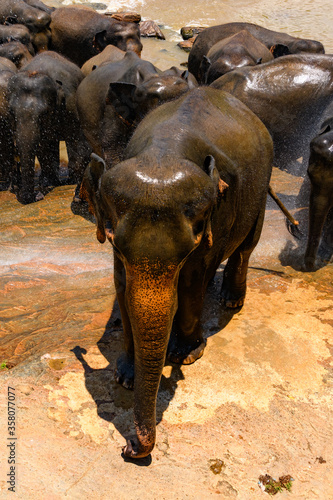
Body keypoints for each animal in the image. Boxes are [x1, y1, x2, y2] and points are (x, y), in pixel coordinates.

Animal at [80, 88, 272, 458]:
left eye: (186, 253)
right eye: (116, 247)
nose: (128, 448)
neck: (163, 152)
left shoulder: (215, 220)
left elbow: (192, 282)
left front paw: (186, 356)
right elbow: (122, 287)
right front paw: (125, 376)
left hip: (263, 184)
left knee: (246, 246)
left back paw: (230, 301)